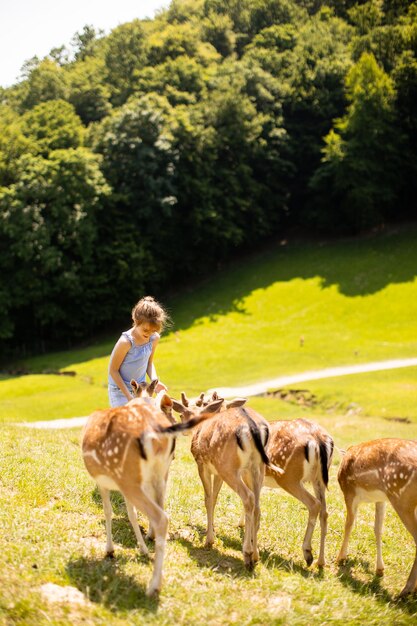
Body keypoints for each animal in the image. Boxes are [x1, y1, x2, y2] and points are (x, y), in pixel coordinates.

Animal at [82, 378, 224, 592]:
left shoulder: (106, 482)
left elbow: (110, 511)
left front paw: (110, 550)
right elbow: (131, 513)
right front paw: (142, 546)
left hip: (131, 477)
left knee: (160, 516)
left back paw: (153, 585)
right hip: (160, 471)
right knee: (162, 506)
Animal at [170, 392, 282, 568]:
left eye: (181, 414)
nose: (183, 431)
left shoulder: (202, 464)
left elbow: (208, 499)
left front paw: (209, 540)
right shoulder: (217, 473)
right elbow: (215, 498)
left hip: (228, 466)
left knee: (248, 498)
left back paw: (247, 554)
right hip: (257, 468)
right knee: (257, 506)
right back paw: (256, 555)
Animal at [336, 436, 416, 596]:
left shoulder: (349, 492)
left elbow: (349, 524)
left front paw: (340, 558)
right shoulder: (381, 499)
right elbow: (378, 529)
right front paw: (379, 569)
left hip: (401, 498)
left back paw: (406, 590)